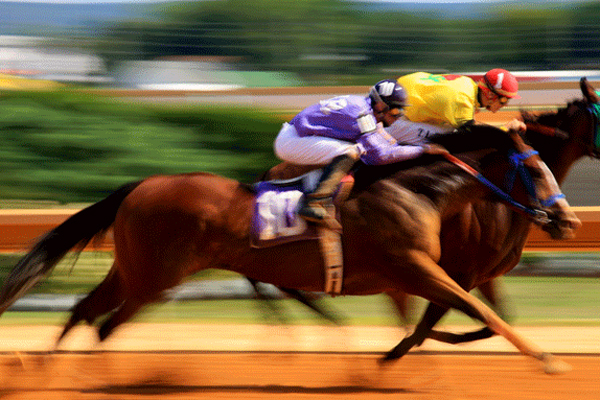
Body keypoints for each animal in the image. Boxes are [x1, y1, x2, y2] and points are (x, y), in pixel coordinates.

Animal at [0, 111, 580, 374]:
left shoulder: (416, 274)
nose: (568, 220)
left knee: (86, 311)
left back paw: (49, 366)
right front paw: (547, 359)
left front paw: (395, 355)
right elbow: (478, 311)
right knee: (103, 323)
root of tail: (140, 185)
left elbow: (450, 316)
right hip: (154, 277)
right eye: (535, 171)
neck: (417, 192)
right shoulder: (413, 266)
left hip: (134, 269)